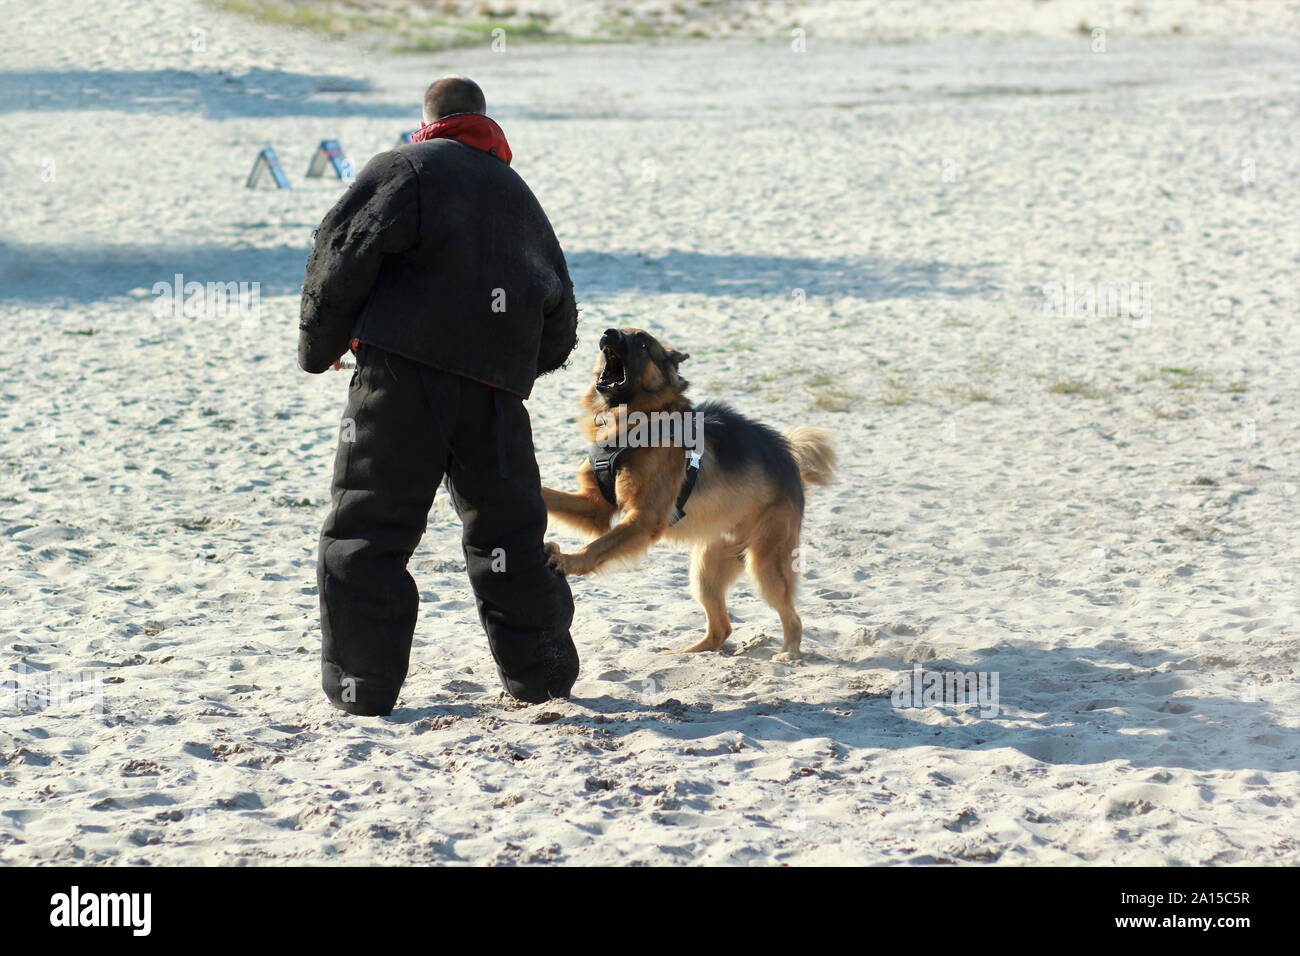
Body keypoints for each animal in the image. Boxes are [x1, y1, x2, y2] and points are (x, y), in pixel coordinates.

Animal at [540, 327, 832, 658]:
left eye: (643, 342)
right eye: (618, 330)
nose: (608, 333)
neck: (634, 422)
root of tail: (790, 461)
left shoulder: (643, 519)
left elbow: (598, 547)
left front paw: (568, 561)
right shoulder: (594, 508)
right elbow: (553, 497)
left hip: (765, 565)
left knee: (792, 617)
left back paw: (789, 653)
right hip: (707, 570)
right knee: (721, 629)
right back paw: (683, 653)